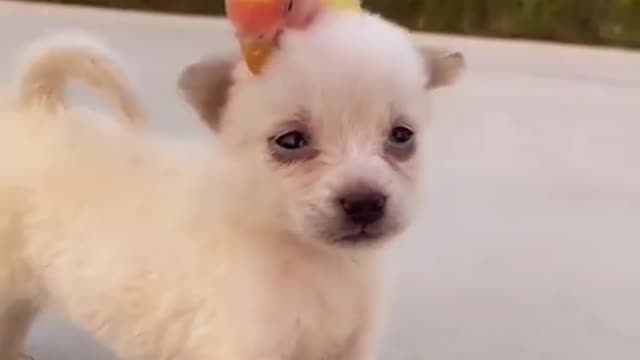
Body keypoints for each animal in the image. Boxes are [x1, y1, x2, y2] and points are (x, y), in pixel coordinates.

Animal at [0, 9, 462, 358]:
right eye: (290, 141)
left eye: (401, 136)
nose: (365, 202)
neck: (317, 260)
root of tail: (39, 107)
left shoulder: (351, 349)